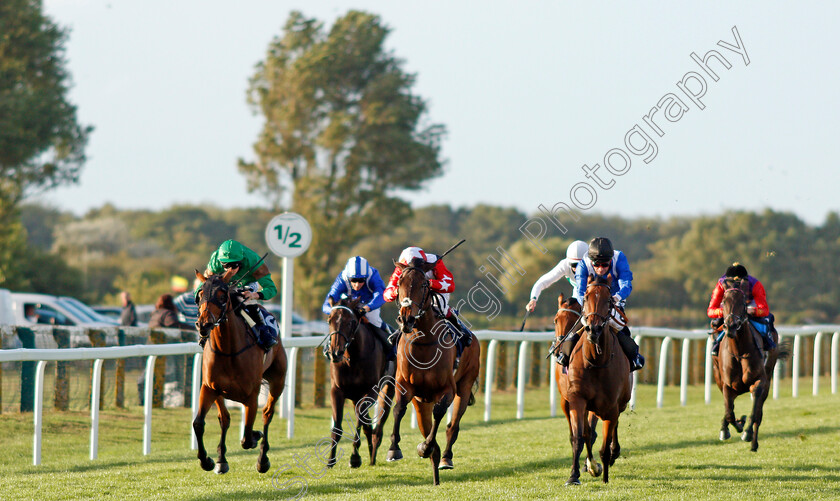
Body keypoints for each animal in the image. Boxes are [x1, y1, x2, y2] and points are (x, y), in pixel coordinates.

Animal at [194, 270, 288, 472]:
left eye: (222, 295)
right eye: (200, 294)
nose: (204, 324)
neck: (228, 351)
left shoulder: (251, 396)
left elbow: (246, 437)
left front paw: (256, 437)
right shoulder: (209, 388)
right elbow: (199, 423)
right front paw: (207, 460)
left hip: (278, 380)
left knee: (267, 413)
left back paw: (263, 458)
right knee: (225, 418)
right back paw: (221, 460)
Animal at [324, 294, 398, 466]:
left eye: (351, 322)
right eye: (329, 320)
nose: (335, 353)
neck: (353, 358)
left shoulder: (371, 391)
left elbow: (360, 417)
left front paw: (355, 457)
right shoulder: (337, 391)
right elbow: (337, 427)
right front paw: (331, 460)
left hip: (388, 389)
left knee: (378, 426)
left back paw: (373, 455)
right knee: (368, 425)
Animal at [388, 258, 480, 484]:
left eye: (423, 285)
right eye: (399, 283)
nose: (406, 319)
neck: (423, 341)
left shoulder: (447, 389)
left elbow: (440, 414)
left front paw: (427, 448)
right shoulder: (405, 386)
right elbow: (398, 409)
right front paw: (394, 449)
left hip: (464, 387)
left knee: (452, 426)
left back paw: (444, 458)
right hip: (421, 401)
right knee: (426, 426)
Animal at [556, 274, 632, 484]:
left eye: (608, 300)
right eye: (587, 297)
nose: (593, 329)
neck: (596, 361)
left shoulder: (610, 406)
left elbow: (605, 444)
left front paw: (604, 474)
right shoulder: (576, 400)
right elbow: (579, 436)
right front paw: (574, 475)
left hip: (620, 402)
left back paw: (611, 455)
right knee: (586, 432)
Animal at [712, 278, 784, 450]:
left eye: (743, 302)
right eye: (723, 301)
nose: (730, 325)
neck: (739, 352)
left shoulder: (759, 381)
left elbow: (755, 411)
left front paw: (747, 432)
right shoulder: (727, 384)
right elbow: (729, 413)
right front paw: (731, 427)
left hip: (768, 377)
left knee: (759, 412)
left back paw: (753, 443)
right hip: (717, 375)